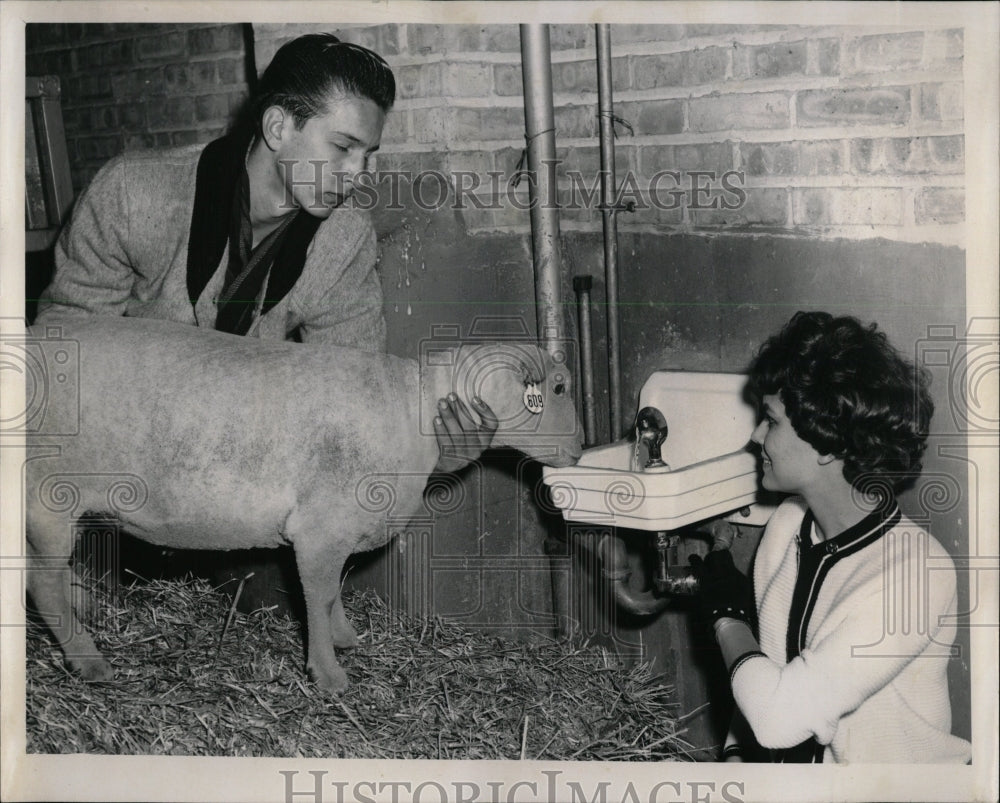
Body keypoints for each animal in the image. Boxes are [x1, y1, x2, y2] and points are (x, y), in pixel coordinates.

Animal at [23, 318, 584, 696]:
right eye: (557, 388)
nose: (580, 450)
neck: (413, 411)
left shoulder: (342, 527)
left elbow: (335, 591)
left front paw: (344, 637)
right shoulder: (321, 527)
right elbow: (318, 595)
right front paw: (328, 673)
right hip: (48, 495)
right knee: (42, 584)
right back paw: (88, 660)